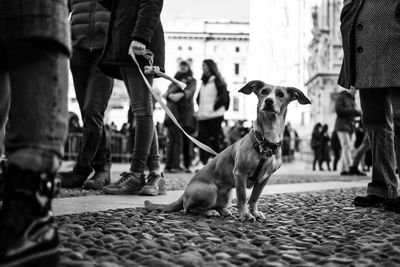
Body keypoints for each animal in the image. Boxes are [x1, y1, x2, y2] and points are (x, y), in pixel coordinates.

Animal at [145, 81, 310, 222]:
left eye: (280, 94)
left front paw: (255, 212)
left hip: (228, 193)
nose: (269, 101)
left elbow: (254, 197)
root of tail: (183, 194)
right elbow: (243, 197)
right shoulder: (240, 173)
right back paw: (209, 211)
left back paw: (222, 210)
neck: (266, 140)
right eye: (264, 91)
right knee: (188, 209)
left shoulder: (264, 179)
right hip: (210, 190)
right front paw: (246, 215)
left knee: (214, 206)